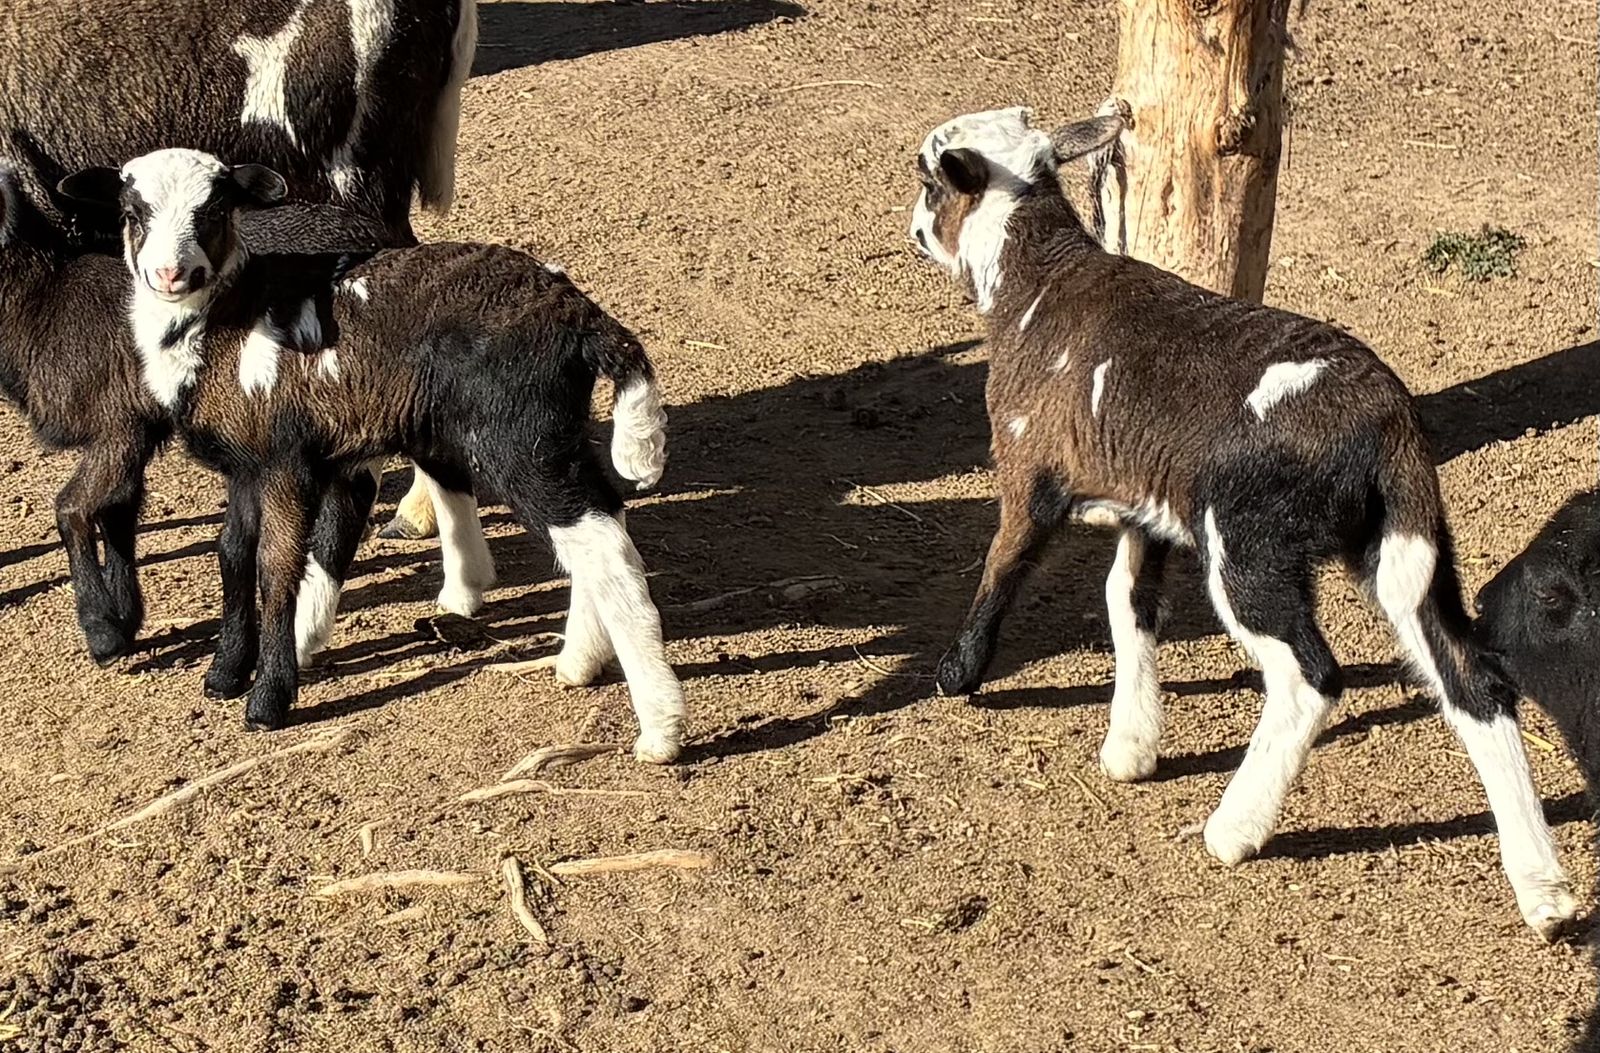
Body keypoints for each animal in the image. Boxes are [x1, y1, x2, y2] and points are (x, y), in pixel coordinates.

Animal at [0, 165, 482, 671]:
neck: (45, 300)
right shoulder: (131, 427)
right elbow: (119, 509)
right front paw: (126, 619)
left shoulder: (121, 421)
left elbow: (72, 508)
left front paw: (103, 632)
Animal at [59, 148, 683, 762]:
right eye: (133, 211)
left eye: (213, 210)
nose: (172, 274)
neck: (225, 323)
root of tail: (584, 320)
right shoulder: (247, 464)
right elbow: (232, 555)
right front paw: (225, 674)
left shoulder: (285, 462)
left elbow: (276, 567)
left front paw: (267, 701)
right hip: (551, 434)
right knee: (601, 519)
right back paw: (579, 661)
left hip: (517, 437)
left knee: (600, 544)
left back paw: (660, 728)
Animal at [907, 106, 1577, 938]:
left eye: (929, 179)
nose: (912, 229)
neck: (1034, 282)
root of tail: (1389, 425)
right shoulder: (1151, 502)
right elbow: (1127, 601)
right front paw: (1132, 745)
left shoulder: (1031, 467)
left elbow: (1004, 567)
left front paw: (958, 673)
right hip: (1405, 542)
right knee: (1472, 677)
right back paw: (1545, 889)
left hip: (1251, 540)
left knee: (1310, 677)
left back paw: (1233, 829)